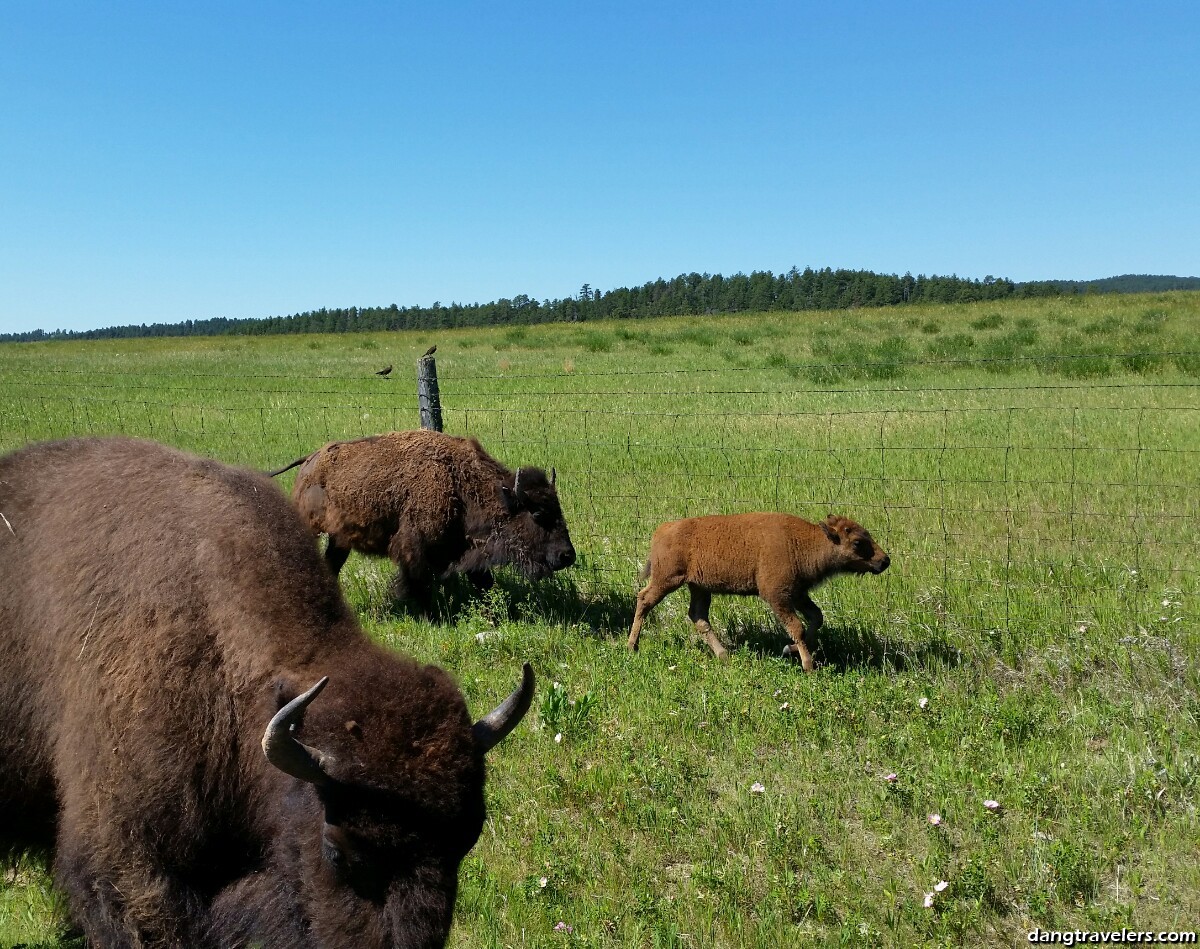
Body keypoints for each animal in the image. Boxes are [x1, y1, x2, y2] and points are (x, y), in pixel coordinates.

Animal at [268, 431, 576, 614]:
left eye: (558, 509)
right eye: (537, 514)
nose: (567, 556)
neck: (459, 482)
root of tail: (310, 459)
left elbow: (483, 581)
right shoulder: (415, 549)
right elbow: (418, 583)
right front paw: (431, 616)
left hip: (339, 539)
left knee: (331, 565)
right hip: (312, 528)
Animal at [628, 511, 892, 667]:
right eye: (857, 542)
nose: (884, 561)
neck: (801, 542)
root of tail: (664, 528)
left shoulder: (798, 594)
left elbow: (815, 618)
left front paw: (789, 650)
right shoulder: (778, 595)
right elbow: (797, 626)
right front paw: (808, 665)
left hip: (699, 587)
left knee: (698, 616)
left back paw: (724, 655)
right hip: (667, 580)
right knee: (644, 600)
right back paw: (632, 646)